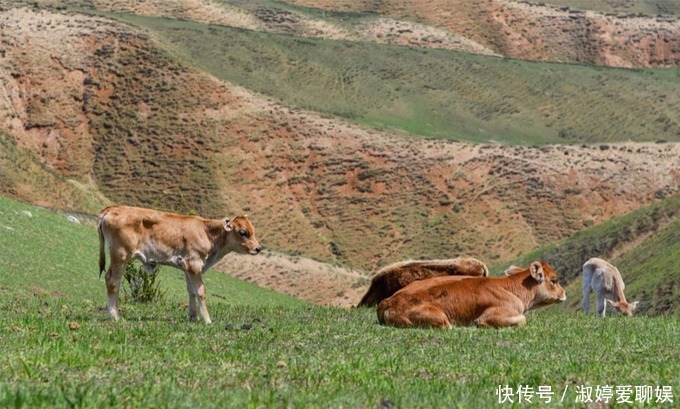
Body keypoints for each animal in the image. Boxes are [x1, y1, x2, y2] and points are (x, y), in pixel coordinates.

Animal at [97, 206, 262, 324]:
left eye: (253, 230)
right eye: (243, 232)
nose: (258, 248)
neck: (207, 231)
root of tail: (112, 208)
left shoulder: (186, 267)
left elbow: (192, 291)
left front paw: (193, 317)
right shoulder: (194, 264)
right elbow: (200, 291)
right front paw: (207, 320)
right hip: (121, 255)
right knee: (112, 280)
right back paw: (114, 315)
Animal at [380, 262, 564, 328]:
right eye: (554, 280)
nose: (564, 293)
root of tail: (388, 301)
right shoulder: (492, 316)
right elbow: (522, 320)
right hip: (440, 318)